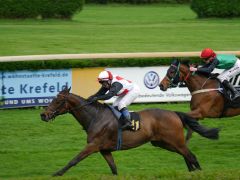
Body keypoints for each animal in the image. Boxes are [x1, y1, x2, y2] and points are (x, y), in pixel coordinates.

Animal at [39, 87, 219, 176]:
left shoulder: (93, 145)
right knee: (186, 155)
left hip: (175, 141)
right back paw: (192, 171)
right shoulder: (104, 149)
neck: (95, 117)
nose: (43, 115)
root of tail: (174, 113)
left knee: (191, 155)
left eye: (58, 101)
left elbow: (74, 160)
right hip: (163, 143)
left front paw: (57, 173)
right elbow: (113, 169)